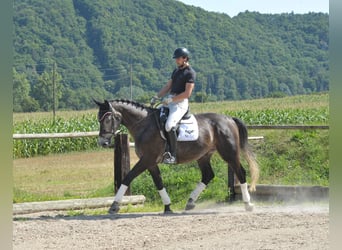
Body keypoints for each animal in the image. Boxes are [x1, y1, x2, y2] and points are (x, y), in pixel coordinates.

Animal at [93, 98, 260, 214]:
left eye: (107, 118)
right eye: (98, 119)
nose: (102, 142)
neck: (144, 125)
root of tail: (229, 118)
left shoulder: (146, 160)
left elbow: (128, 178)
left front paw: (114, 206)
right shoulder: (151, 162)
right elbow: (159, 183)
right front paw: (167, 207)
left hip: (229, 153)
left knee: (241, 172)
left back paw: (248, 204)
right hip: (204, 155)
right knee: (208, 175)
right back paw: (190, 202)